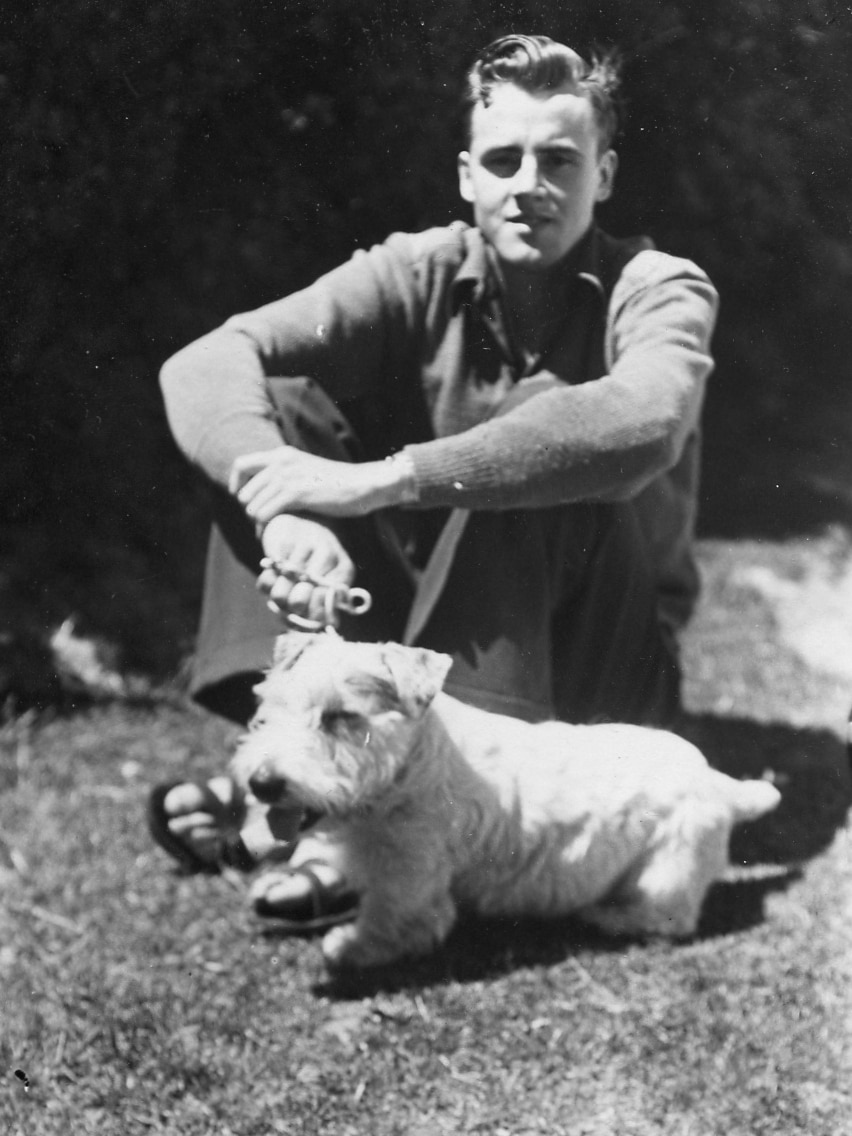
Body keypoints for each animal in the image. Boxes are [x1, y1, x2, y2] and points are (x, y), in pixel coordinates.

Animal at [230, 631, 786, 967]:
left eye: (340, 716)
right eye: (269, 705)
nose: (262, 783)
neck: (409, 767)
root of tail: (721, 783)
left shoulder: (410, 880)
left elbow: (393, 922)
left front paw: (346, 947)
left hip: (665, 875)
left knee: (671, 919)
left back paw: (606, 916)